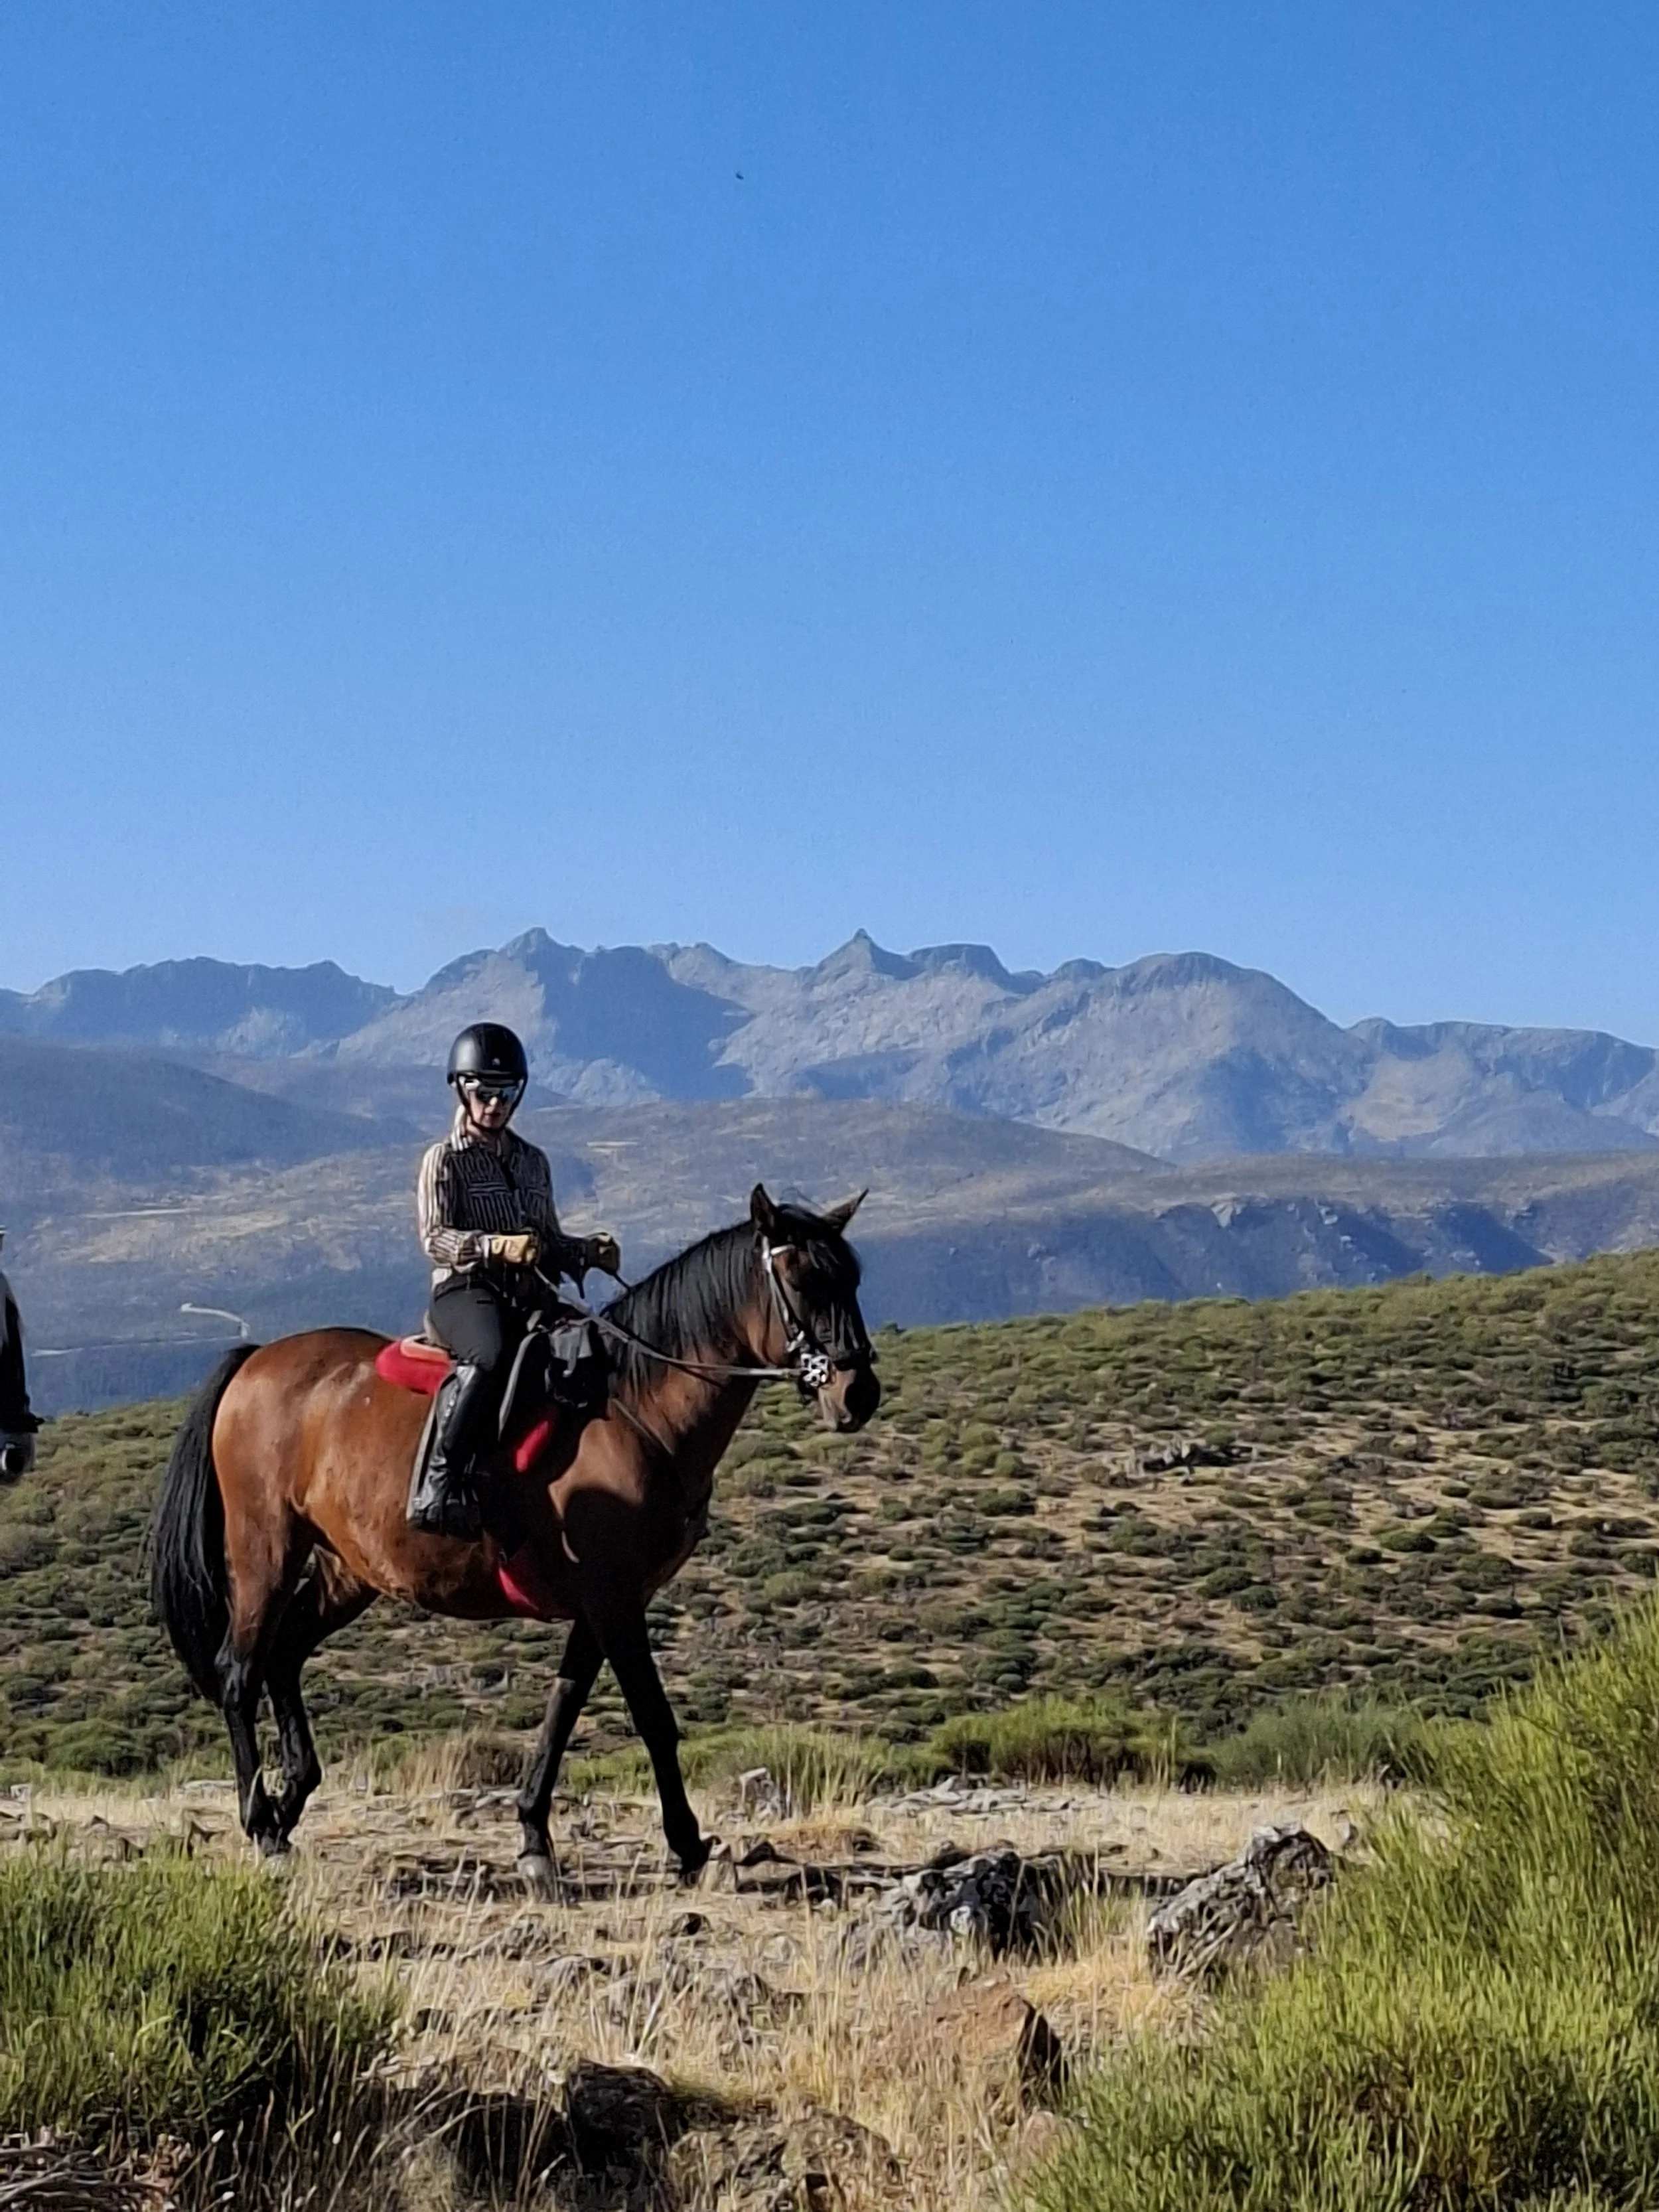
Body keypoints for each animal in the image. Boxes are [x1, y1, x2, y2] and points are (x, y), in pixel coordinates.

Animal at [149, 1185, 878, 1876]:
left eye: (852, 1278)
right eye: (803, 1280)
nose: (858, 1394)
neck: (635, 1409)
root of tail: (255, 1362)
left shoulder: (605, 1603)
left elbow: (562, 1710)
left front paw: (533, 1836)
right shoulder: (614, 1602)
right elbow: (652, 1716)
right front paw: (685, 1843)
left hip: (347, 1570)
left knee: (284, 1653)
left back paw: (291, 1800)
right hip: (265, 1551)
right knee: (240, 1671)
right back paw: (263, 1825)